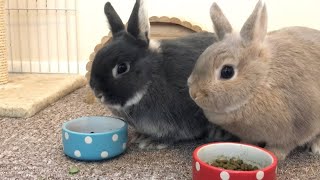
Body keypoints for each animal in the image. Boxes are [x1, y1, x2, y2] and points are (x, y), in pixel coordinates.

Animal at [189, 0, 320, 160]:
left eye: (227, 72)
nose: (194, 93)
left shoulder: (297, 128)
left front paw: (273, 154)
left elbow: (283, 146)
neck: (261, 82)